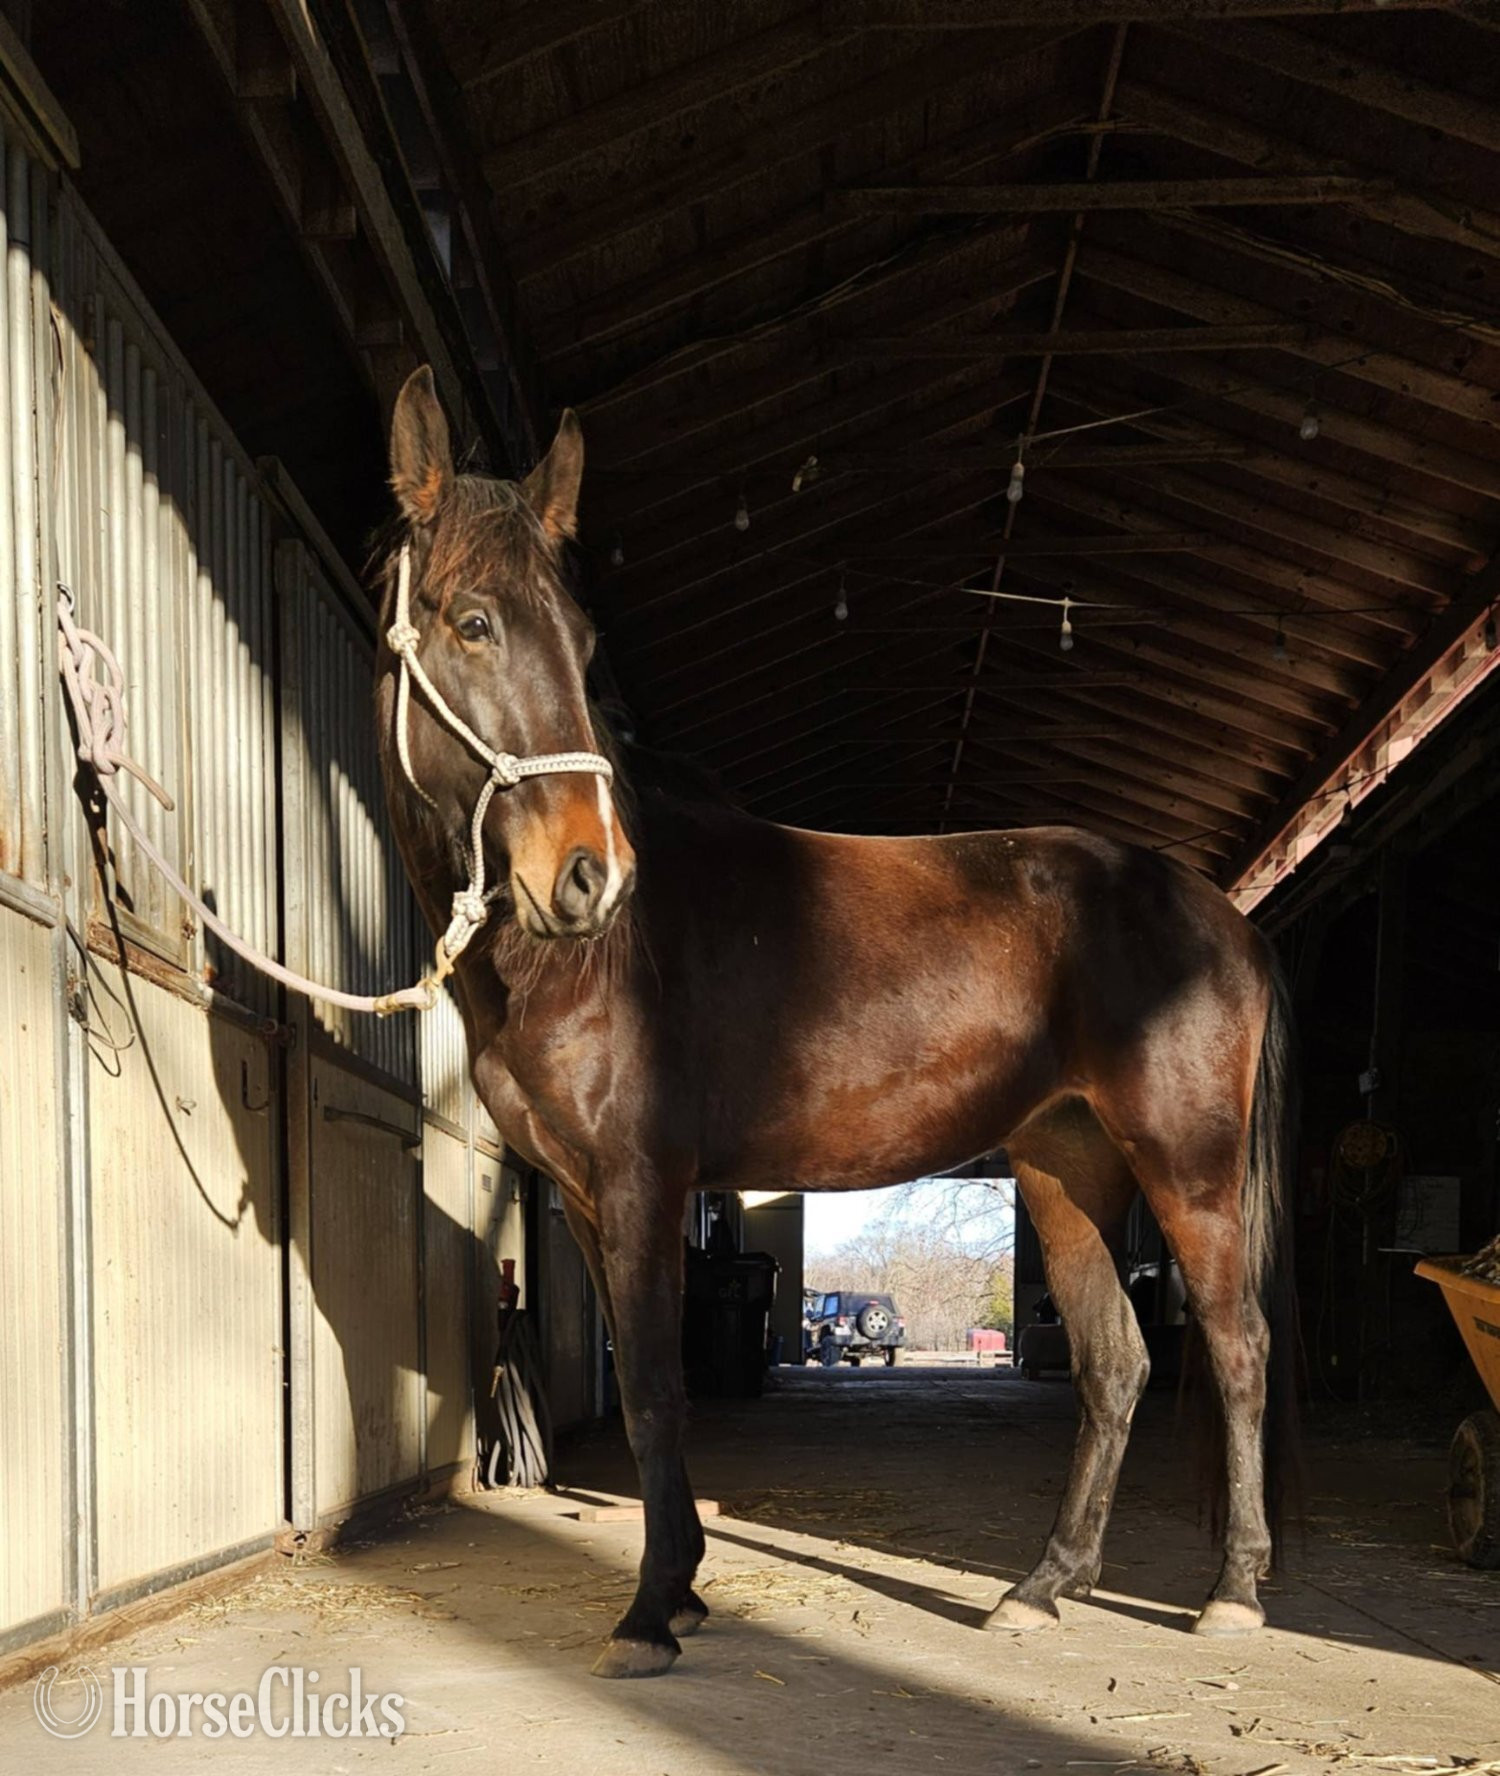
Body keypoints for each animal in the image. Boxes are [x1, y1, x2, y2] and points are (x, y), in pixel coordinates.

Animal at [374, 365, 1297, 1680]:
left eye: (583, 643)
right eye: (470, 622)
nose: (592, 877)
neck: (583, 959)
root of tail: (1224, 914)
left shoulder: (643, 1179)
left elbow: (655, 1388)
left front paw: (653, 1611)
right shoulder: (592, 1197)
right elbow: (650, 1390)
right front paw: (682, 1593)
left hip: (1188, 1167)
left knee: (1234, 1346)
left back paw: (1234, 1595)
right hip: (1064, 1164)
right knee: (1118, 1362)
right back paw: (1041, 1588)